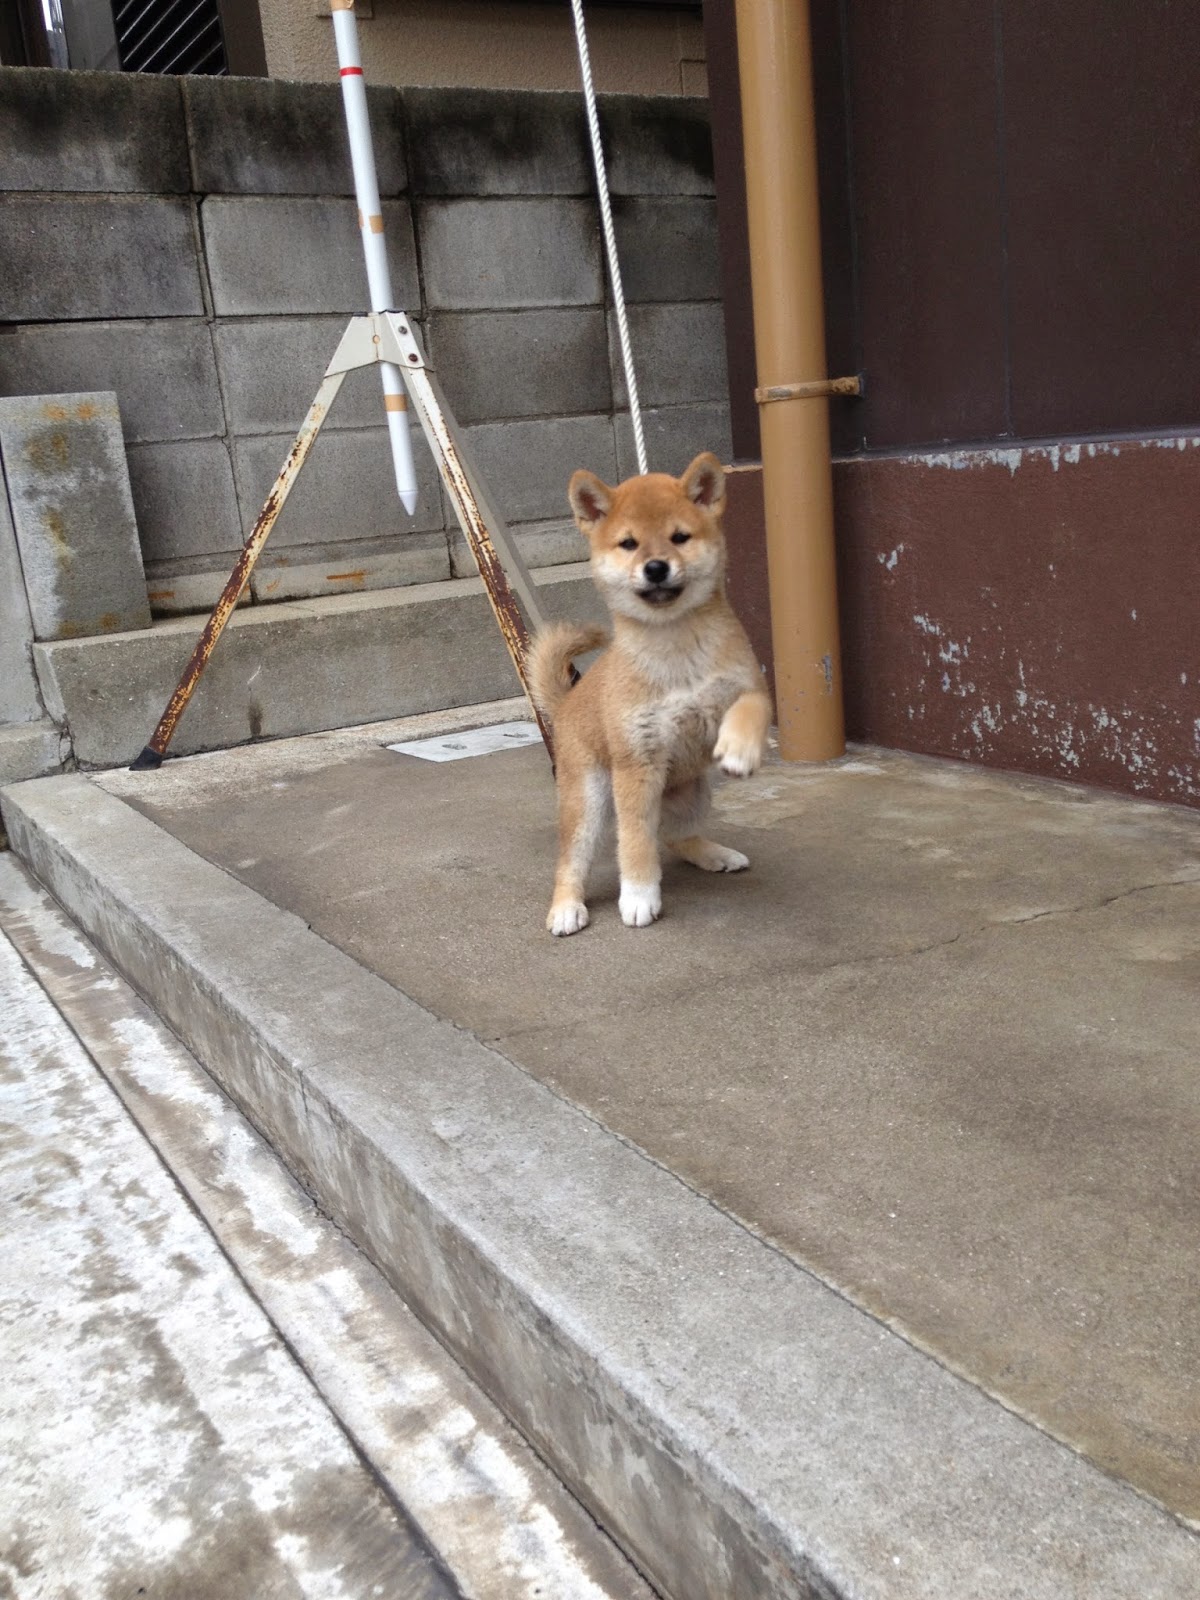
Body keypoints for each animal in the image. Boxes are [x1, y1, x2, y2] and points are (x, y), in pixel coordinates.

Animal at [527, 451, 772, 935]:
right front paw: (640, 896)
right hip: (589, 800)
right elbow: (636, 844)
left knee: (676, 836)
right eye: (628, 543)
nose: (656, 567)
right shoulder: (636, 764)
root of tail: (567, 704)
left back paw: (714, 853)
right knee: (572, 861)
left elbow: (751, 707)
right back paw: (566, 907)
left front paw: (740, 750)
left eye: (679, 537)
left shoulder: (746, 685)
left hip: (692, 796)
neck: (675, 649)